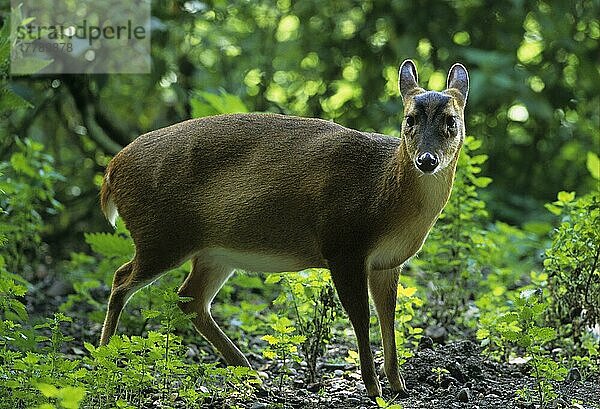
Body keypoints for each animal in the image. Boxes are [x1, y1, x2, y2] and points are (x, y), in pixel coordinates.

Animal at [98, 59, 468, 396]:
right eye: (410, 119)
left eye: (451, 120)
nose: (426, 160)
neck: (383, 190)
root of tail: (111, 171)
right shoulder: (343, 244)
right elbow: (361, 317)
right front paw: (373, 387)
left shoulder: (387, 262)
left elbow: (388, 318)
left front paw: (398, 385)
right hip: (161, 234)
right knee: (121, 279)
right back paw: (103, 361)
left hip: (214, 252)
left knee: (189, 299)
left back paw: (250, 373)